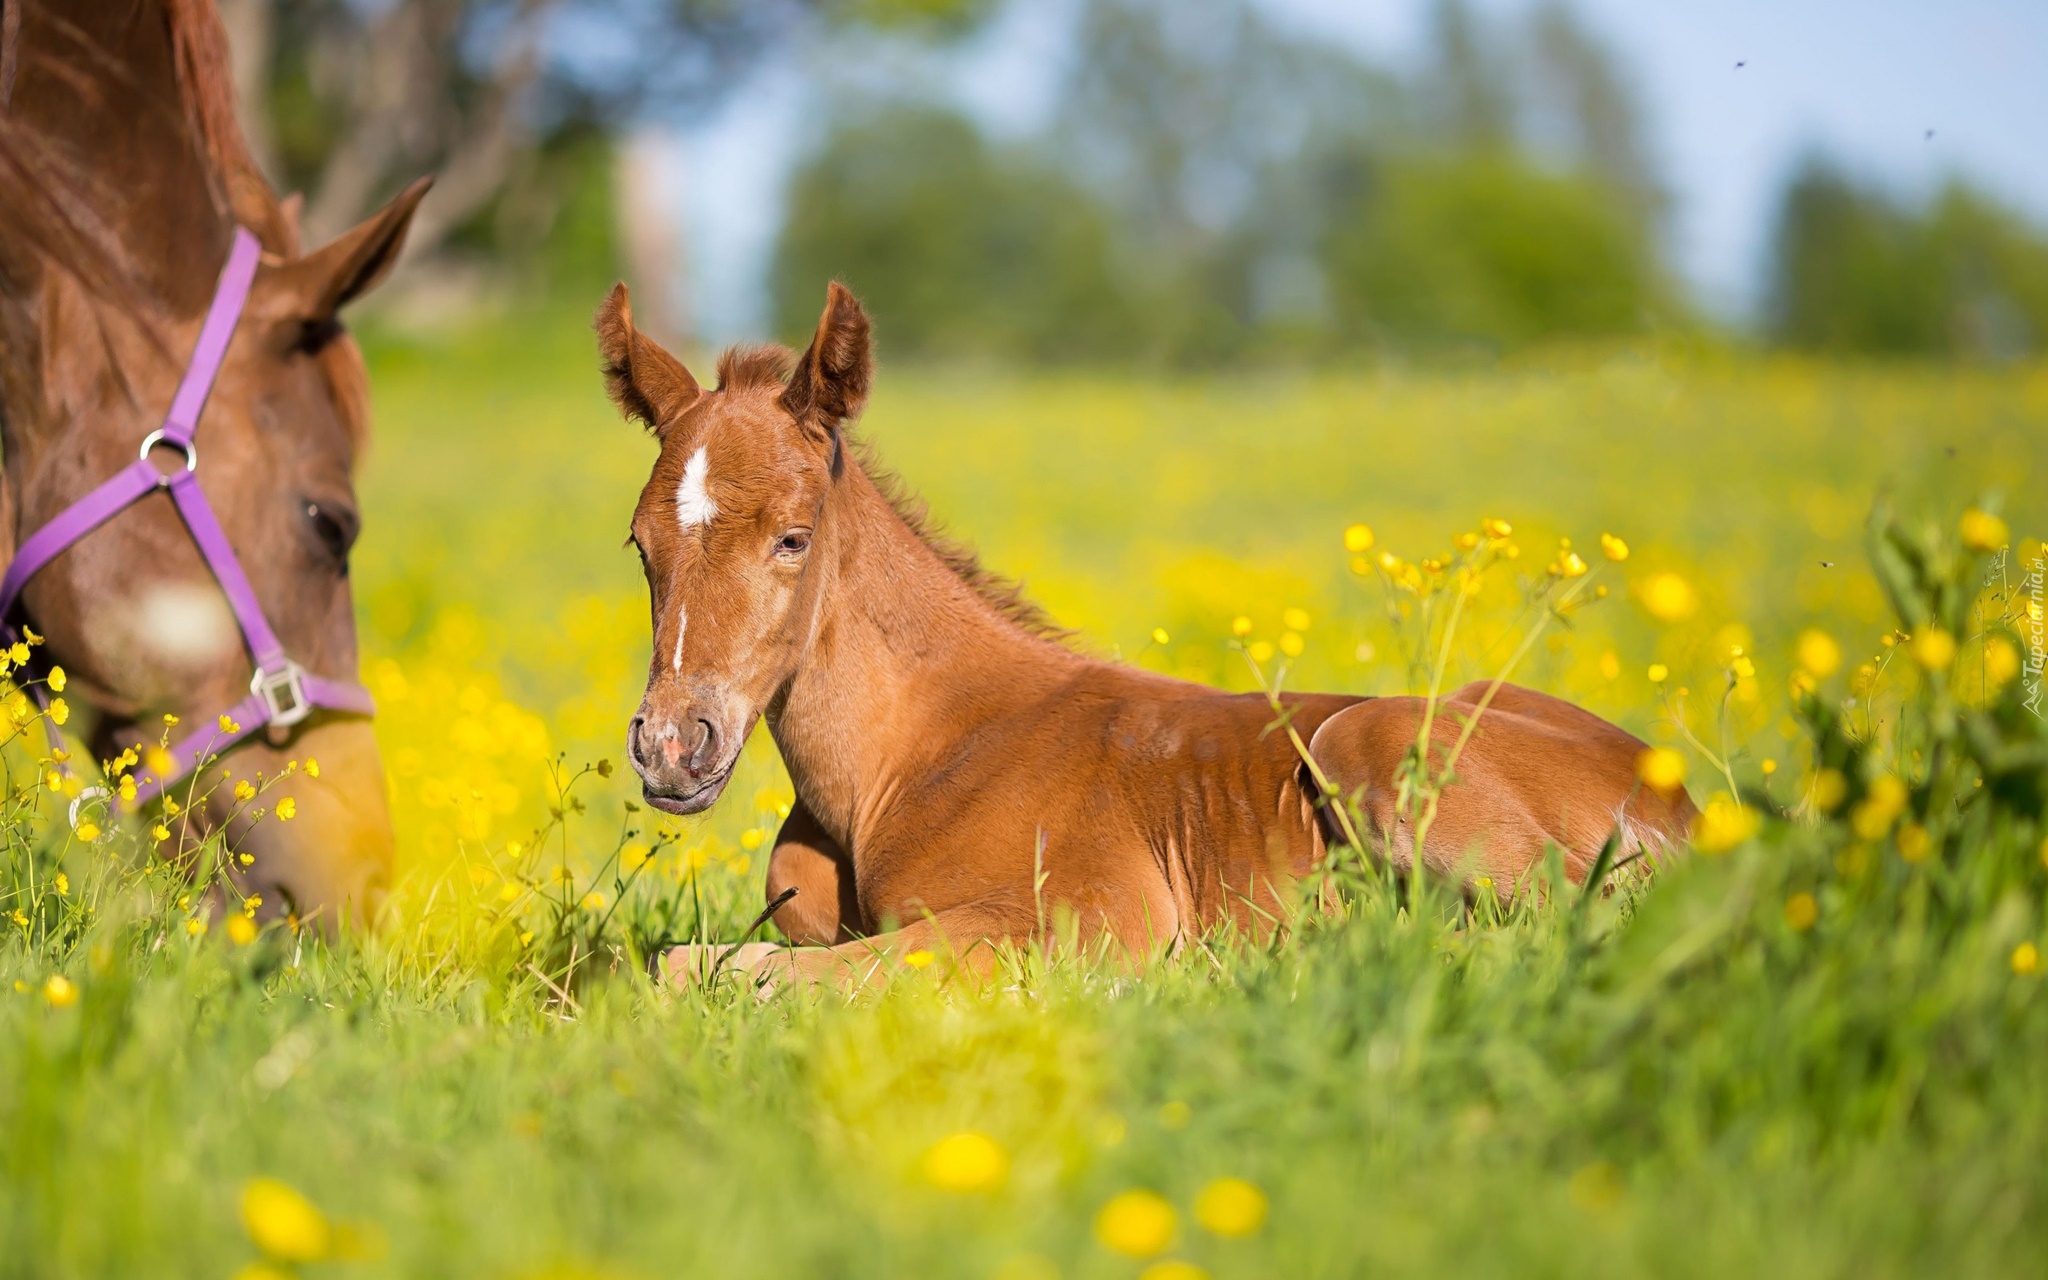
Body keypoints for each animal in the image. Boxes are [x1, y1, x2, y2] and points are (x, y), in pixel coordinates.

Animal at [598, 278, 1695, 983]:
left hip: (1367, 740)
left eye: (791, 536)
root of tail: (1686, 801)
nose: (672, 744)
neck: (906, 758)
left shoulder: (1091, 916)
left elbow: (733, 969)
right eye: (640, 544)